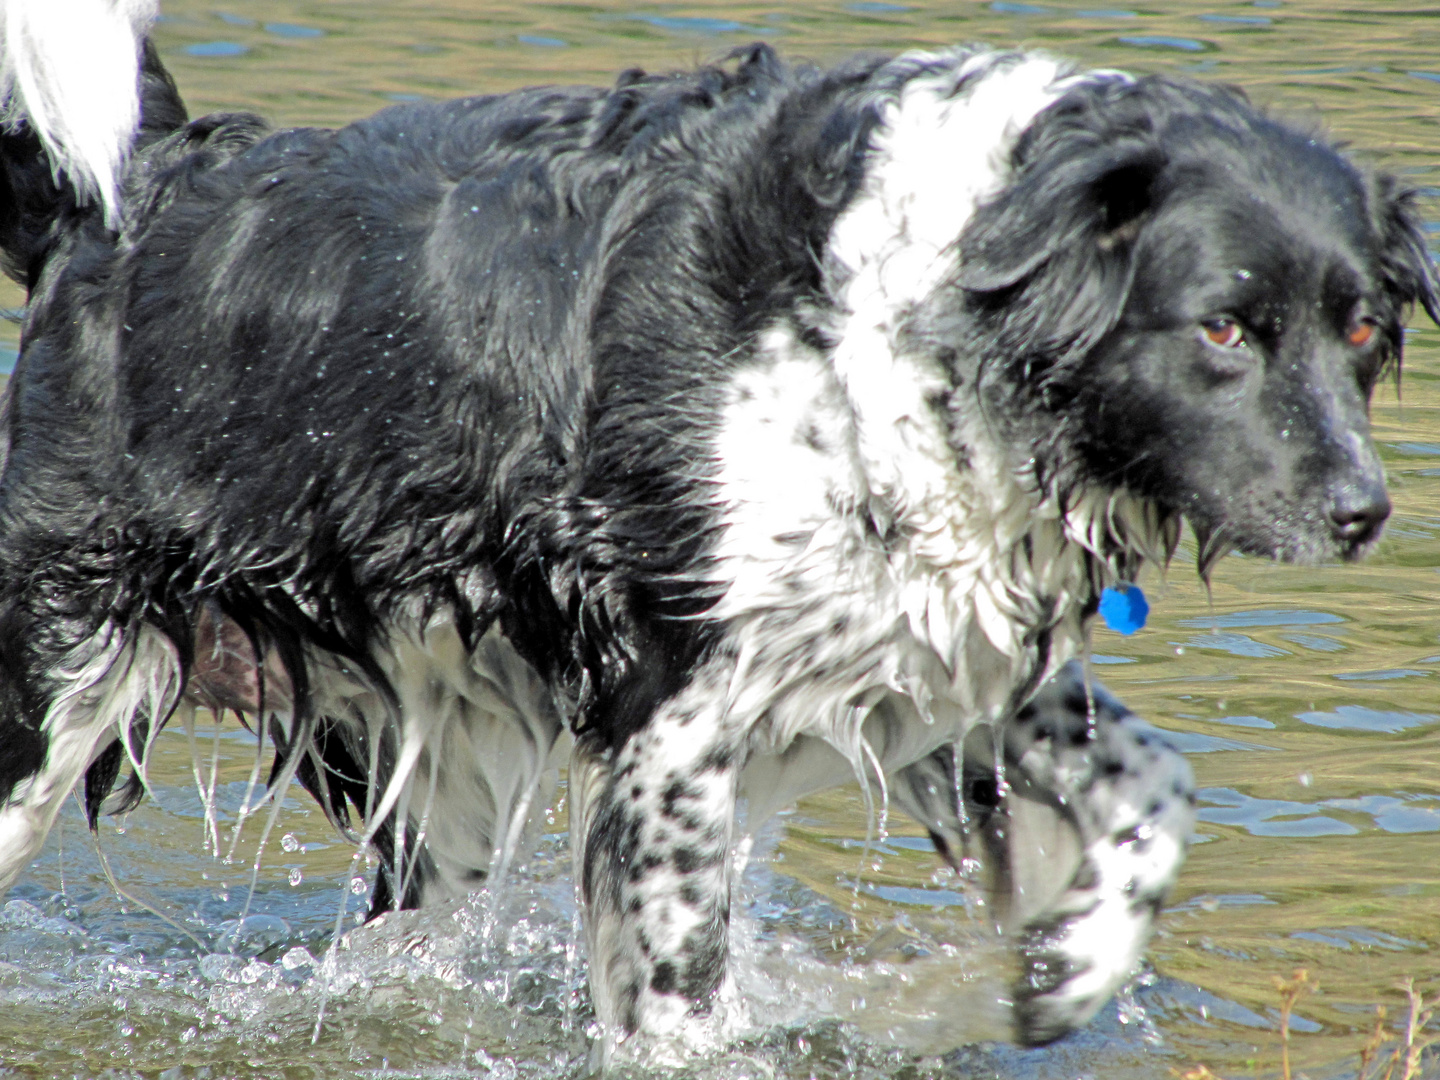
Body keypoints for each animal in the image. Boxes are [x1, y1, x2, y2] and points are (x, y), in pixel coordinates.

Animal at [0, 0, 1428, 1059]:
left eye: (1359, 326)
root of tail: (133, 197)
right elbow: (687, 995)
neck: (923, 308)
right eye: (1224, 326)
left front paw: (1075, 965)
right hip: (50, 690)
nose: (1365, 511)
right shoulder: (675, 715)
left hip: (445, 766)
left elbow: (1154, 785)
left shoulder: (935, 646)